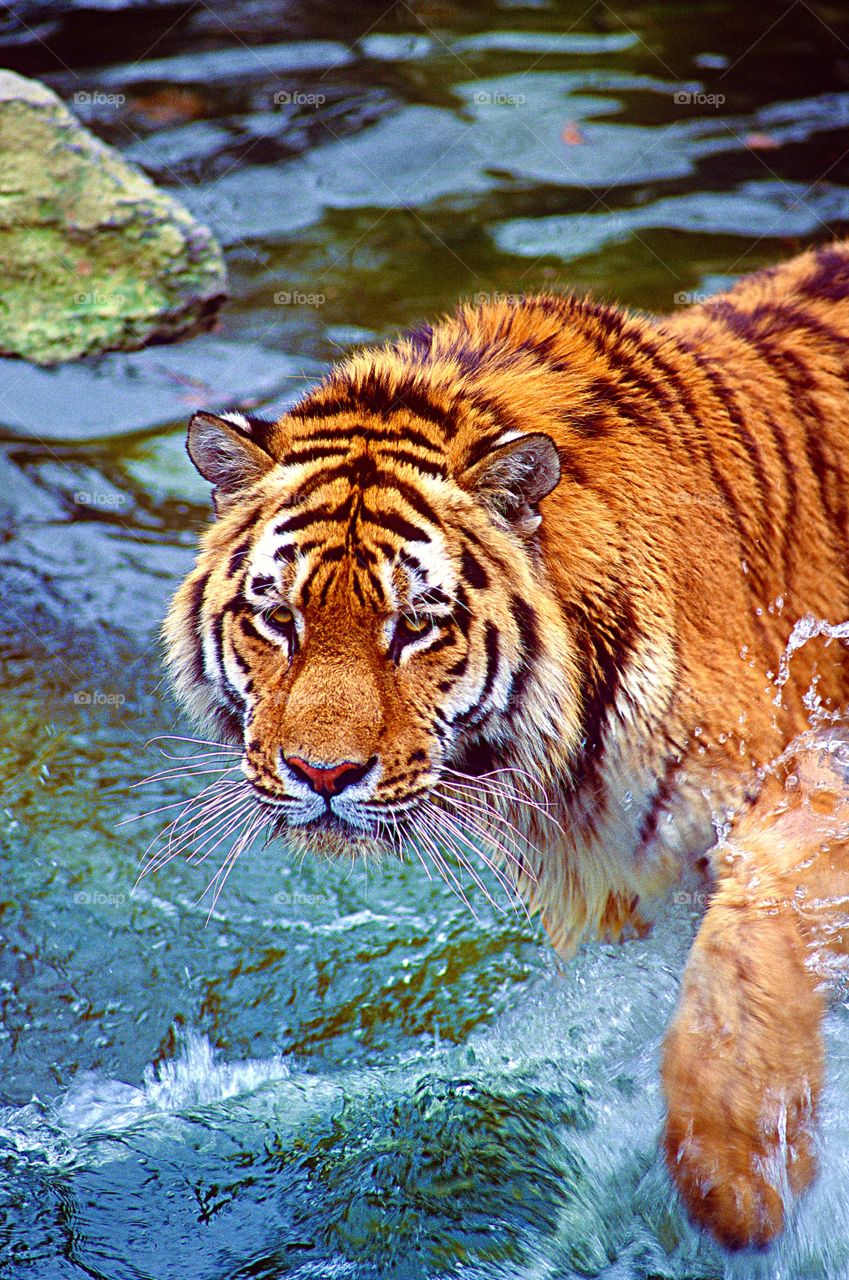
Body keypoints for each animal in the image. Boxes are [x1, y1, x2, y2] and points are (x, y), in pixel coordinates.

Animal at [165, 239, 849, 1251]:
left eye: (413, 626)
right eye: (279, 619)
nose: (322, 773)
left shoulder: (802, 777)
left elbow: (751, 936)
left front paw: (736, 1175)